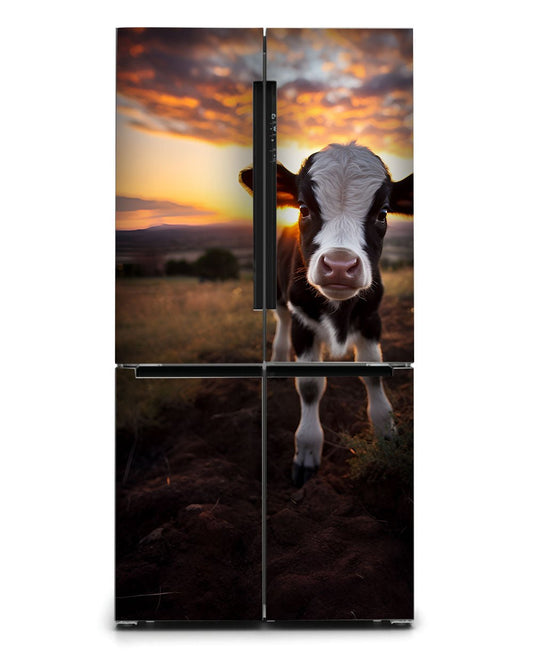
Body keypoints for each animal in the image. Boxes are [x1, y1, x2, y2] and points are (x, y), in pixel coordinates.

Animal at [240, 142, 413, 486]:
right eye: (304, 208)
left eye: (383, 213)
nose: (340, 266)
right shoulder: (302, 321)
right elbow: (309, 386)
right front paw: (306, 450)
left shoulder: (372, 318)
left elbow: (375, 374)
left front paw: (387, 434)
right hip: (280, 296)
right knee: (280, 322)